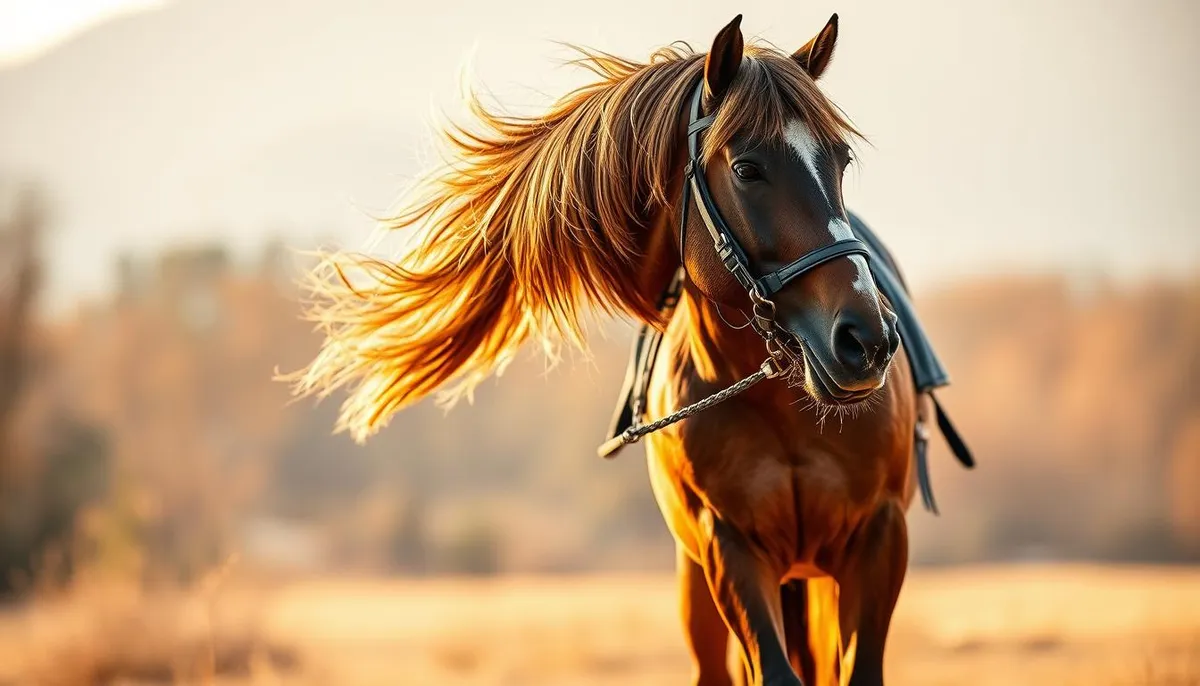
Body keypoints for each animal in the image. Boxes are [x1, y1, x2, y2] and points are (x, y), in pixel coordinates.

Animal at [289, 14, 934, 686]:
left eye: (840, 160)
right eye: (747, 169)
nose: (865, 340)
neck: (785, 411)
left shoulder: (879, 538)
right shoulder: (727, 548)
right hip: (703, 584)